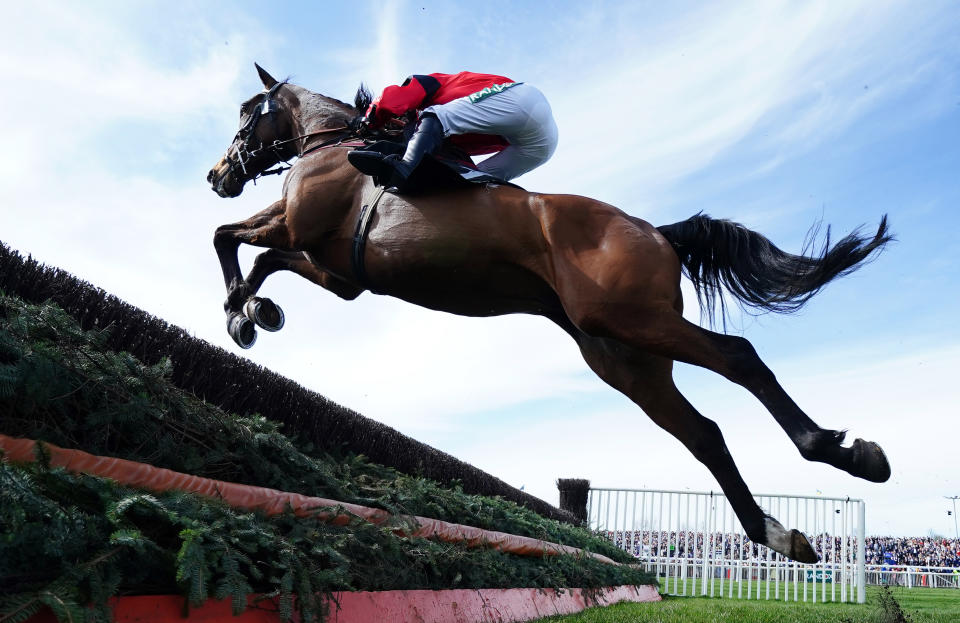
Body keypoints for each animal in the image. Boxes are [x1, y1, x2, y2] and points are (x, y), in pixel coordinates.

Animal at [208, 64, 892, 564]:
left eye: (246, 112)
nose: (218, 174)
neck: (336, 146)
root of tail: (656, 230)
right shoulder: (339, 273)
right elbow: (258, 255)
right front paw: (252, 309)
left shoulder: (303, 229)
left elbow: (231, 237)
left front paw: (242, 310)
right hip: (623, 357)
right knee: (703, 432)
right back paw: (777, 530)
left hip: (626, 317)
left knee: (738, 357)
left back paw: (834, 449)